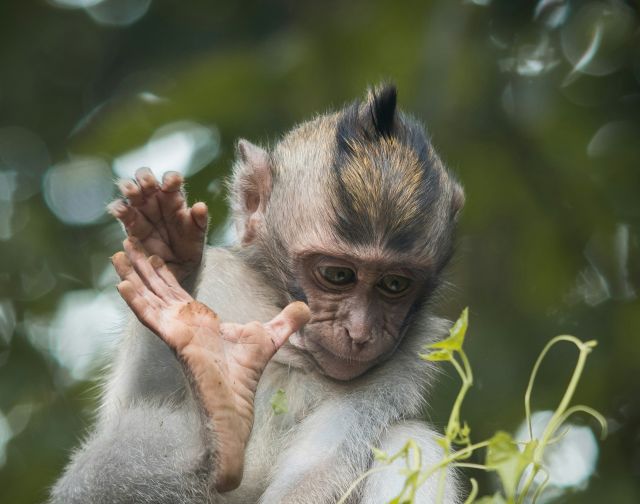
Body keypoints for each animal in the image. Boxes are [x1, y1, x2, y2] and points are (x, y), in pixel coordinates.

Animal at [51, 84, 464, 502]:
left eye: (394, 285)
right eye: (338, 275)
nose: (360, 332)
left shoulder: (411, 349)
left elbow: (323, 459)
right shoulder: (222, 277)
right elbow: (133, 402)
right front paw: (169, 256)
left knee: (410, 438)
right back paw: (214, 445)